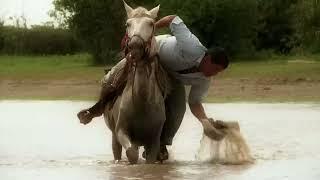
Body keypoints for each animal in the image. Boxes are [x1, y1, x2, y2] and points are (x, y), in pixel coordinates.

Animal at [104, 1, 170, 165]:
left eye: (151, 23)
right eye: (128, 24)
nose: (135, 46)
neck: (142, 102)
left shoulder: (153, 141)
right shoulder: (122, 132)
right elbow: (132, 154)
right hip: (115, 137)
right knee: (117, 153)